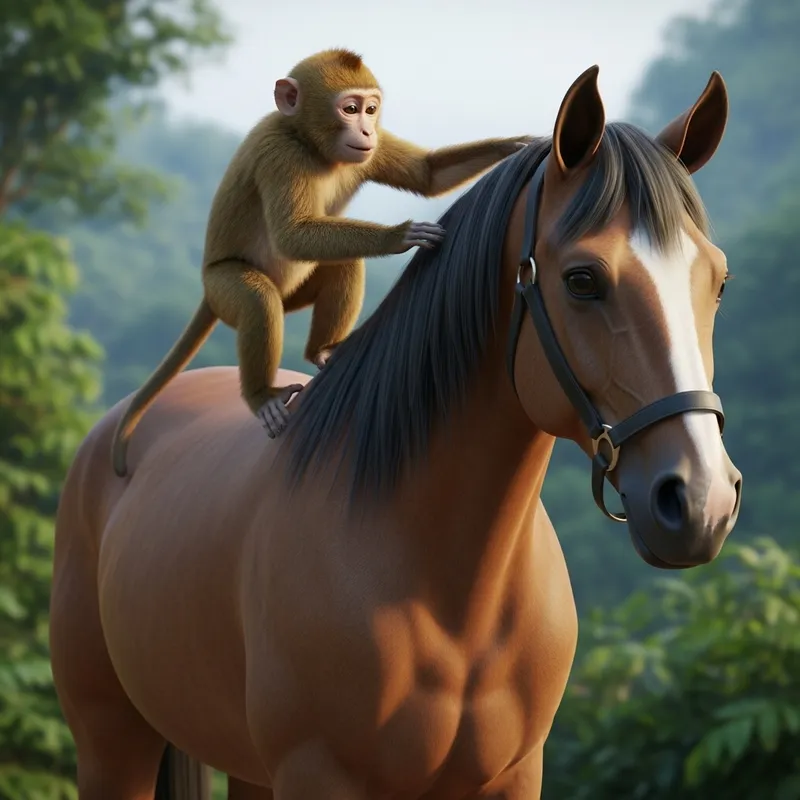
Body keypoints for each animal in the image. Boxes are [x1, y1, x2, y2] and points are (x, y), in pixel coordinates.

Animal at [111, 48, 531, 477]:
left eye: (371, 110)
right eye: (350, 109)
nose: (367, 132)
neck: (310, 144)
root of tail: (206, 293)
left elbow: (428, 175)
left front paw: (518, 144)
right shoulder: (280, 154)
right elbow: (292, 235)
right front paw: (400, 235)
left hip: (293, 293)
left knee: (343, 264)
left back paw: (323, 351)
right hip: (222, 286)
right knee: (257, 299)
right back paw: (263, 395)